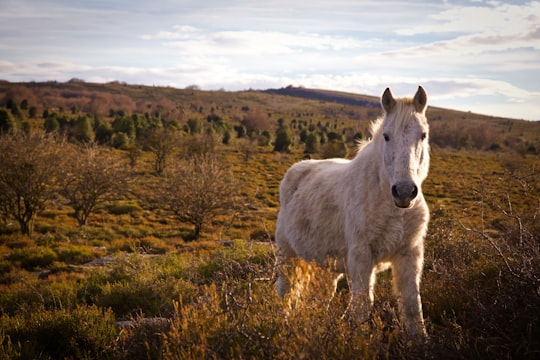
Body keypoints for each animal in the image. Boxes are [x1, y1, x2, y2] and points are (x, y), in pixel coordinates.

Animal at [276, 86, 428, 338]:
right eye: (386, 136)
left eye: (423, 135)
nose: (404, 192)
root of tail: (296, 170)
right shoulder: (361, 258)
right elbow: (362, 306)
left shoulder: (409, 255)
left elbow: (412, 308)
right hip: (287, 256)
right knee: (285, 293)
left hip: (326, 266)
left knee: (320, 298)